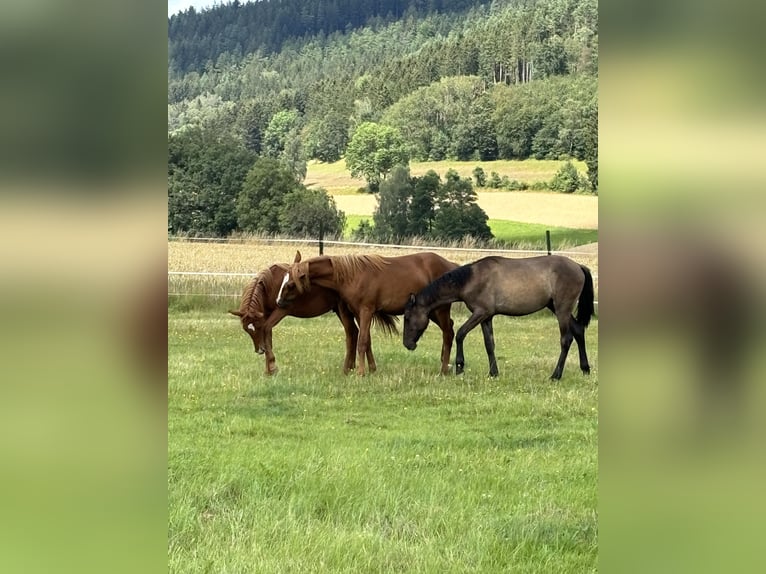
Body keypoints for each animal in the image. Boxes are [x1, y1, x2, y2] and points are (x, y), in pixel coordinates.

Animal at [230, 264, 400, 376]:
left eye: (256, 326)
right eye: (247, 330)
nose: (259, 350)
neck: (272, 283)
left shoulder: (280, 311)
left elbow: (266, 331)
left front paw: (271, 366)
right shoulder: (267, 315)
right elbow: (268, 338)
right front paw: (269, 370)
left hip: (347, 310)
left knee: (354, 334)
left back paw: (353, 368)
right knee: (356, 333)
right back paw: (356, 367)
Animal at [276, 252, 456, 378]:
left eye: (290, 284)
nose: (278, 301)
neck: (352, 275)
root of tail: (450, 265)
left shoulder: (366, 311)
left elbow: (362, 341)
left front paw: (361, 372)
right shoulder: (358, 313)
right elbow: (367, 340)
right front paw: (372, 369)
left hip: (440, 310)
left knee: (447, 334)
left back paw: (443, 370)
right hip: (432, 312)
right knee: (450, 329)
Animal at [404, 256, 596, 382]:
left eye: (407, 318)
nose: (407, 344)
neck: (472, 279)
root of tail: (578, 266)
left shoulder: (480, 312)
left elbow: (460, 334)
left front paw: (459, 366)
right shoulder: (486, 317)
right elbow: (489, 344)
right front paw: (493, 372)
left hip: (562, 309)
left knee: (566, 339)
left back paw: (556, 375)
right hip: (557, 308)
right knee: (578, 331)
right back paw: (585, 369)